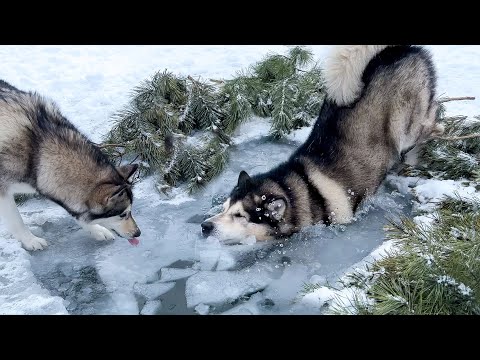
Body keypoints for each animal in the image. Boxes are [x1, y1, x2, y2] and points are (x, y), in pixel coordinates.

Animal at [0, 79, 142, 250]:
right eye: (122, 214)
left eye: (130, 211)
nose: (138, 233)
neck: (38, 150)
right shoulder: (3, 192)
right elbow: (17, 221)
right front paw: (30, 240)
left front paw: (96, 230)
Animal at [201, 45, 444, 242]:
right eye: (224, 208)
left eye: (239, 215)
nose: (205, 226)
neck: (304, 191)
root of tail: (399, 49)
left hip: (405, 126)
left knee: (429, 118)